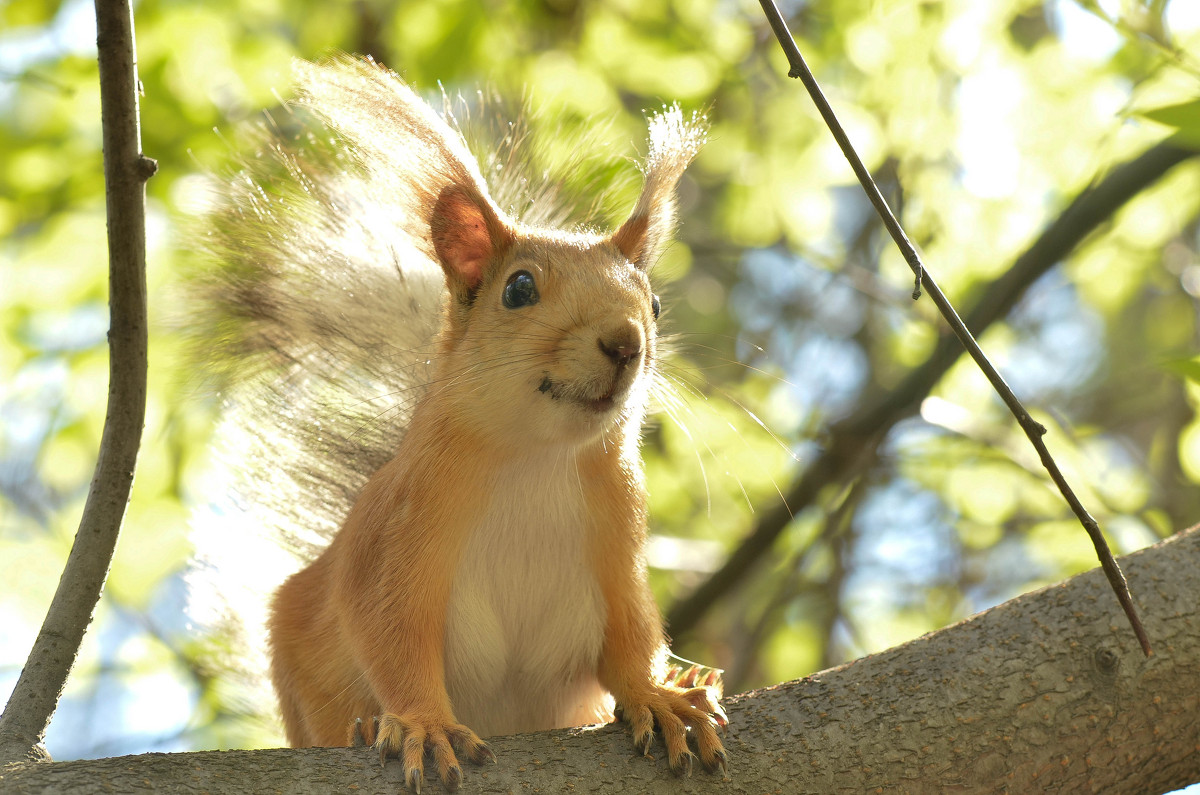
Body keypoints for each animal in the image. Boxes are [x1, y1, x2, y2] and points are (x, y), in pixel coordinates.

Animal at [192, 56, 724, 792]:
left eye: (655, 303)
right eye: (519, 288)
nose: (625, 342)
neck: (537, 457)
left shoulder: (619, 543)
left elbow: (630, 637)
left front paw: (659, 696)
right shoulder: (398, 536)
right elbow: (393, 641)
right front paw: (421, 722)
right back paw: (364, 727)